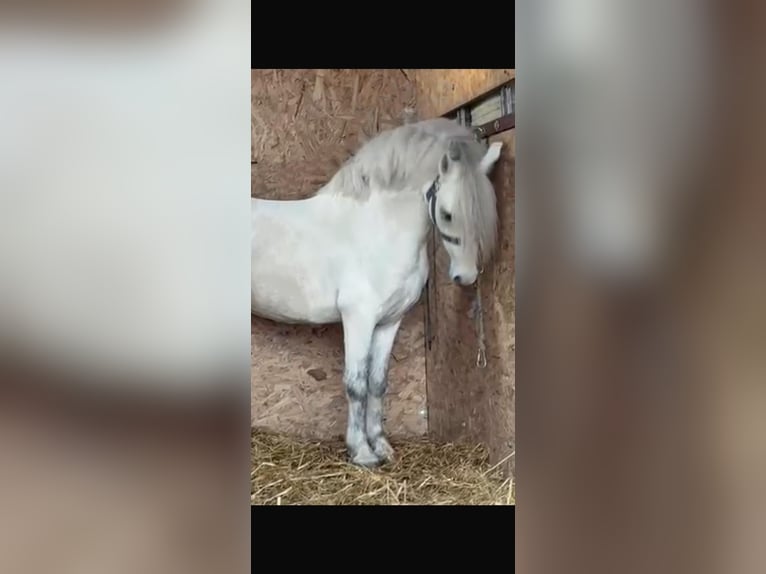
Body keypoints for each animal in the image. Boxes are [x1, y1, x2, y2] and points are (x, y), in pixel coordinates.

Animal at [251, 117, 503, 467]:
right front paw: (362, 452)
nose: (465, 276)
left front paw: (382, 446)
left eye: (486, 212)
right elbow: (356, 384)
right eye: (448, 214)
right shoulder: (358, 318)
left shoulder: (389, 321)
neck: (379, 230)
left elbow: (377, 383)